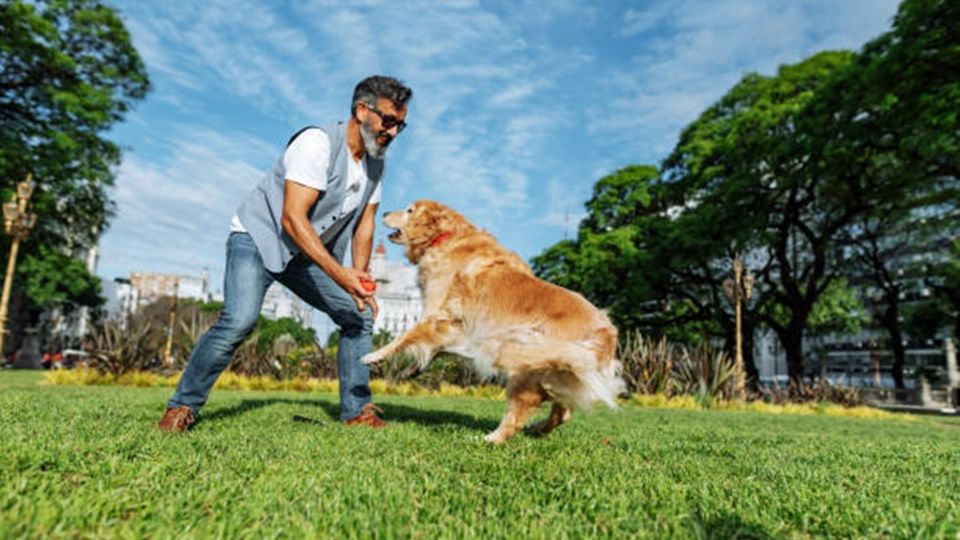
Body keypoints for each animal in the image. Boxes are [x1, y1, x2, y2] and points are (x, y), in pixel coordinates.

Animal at [358, 199, 624, 442]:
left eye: (410, 210)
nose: (384, 212)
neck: (444, 237)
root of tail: (607, 331)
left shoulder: (437, 313)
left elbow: (405, 337)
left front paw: (374, 356)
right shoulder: (461, 327)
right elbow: (437, 349)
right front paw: (413, 369)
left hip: (527, 365)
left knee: (520, 412)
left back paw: (490, 438)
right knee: (562, 413)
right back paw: (537, 429)